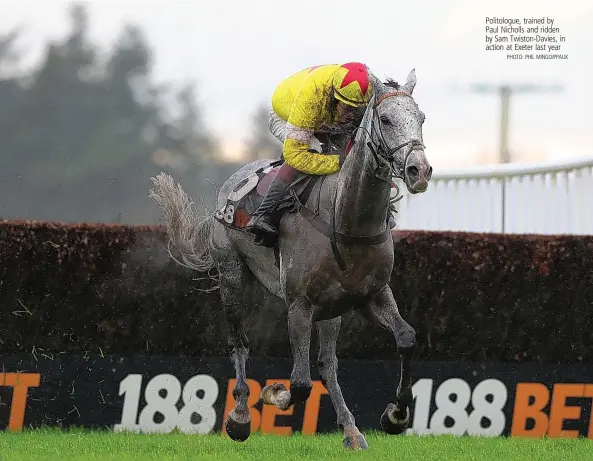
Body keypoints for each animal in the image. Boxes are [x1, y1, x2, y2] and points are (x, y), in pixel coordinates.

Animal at [150, 69, 432, 450]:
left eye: (421, 118)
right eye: (385, 119)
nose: (420, 171)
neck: (345, 218)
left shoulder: (372, 294)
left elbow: (405, 338)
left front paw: (396, 415)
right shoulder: (299, 304)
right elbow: (298, 383)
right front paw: (272, 393)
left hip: (332, 308)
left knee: (328, 364)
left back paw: (351, 430)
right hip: (231, 278)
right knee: (239, 344)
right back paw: (240, 417)